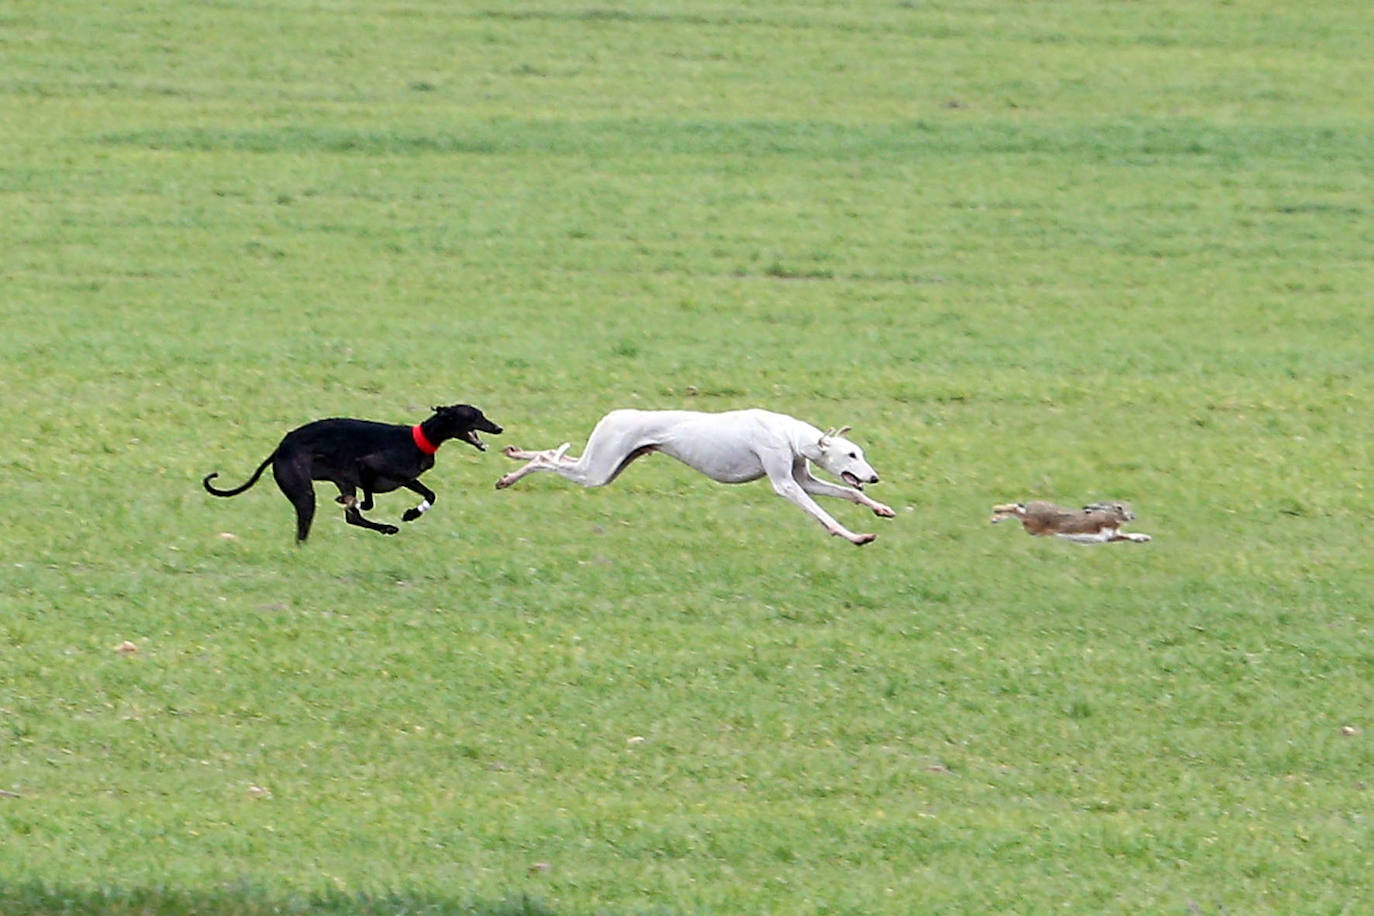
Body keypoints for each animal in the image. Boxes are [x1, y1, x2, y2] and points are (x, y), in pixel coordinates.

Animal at [200, 403, 502, 543]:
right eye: (474, 415)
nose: (498, 428)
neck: (421, 438)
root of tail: (280, 448)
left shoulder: (405, 478)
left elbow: (431, 494)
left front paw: (411, 514)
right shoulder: (367, 465)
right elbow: (367, 501)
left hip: (338, 482)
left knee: (352, 518)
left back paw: (387, 527)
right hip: (305, 492)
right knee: (310, 526)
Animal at [494, 409, 901, 543]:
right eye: (851, 454)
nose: (875, 477)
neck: (787, 433)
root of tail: (613, 415)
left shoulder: (803, 478)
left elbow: (849, 494)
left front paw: (879, 508)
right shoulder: (785, 483)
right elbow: (822, 514)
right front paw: (855, 536)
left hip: (604, 463)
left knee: (553, 455)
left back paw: (512, 459)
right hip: (597, 471)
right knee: (549, 458)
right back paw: (509, 477)